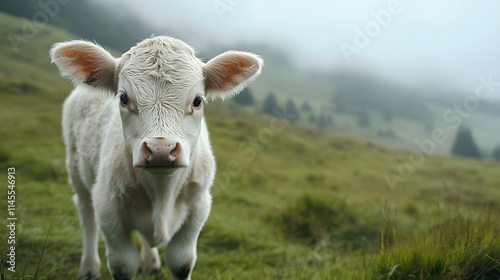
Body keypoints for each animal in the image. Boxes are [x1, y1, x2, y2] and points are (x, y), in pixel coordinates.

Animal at [49, 36, 264, 278]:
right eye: (124, 98)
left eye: (197, 100)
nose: (161, 148)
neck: (162, 191)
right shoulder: (107, 206)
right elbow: (123, 264)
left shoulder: (199, 206)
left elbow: (182, 262)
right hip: (76, 168)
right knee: (86, 213)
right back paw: (89, 268)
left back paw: (151, 263)